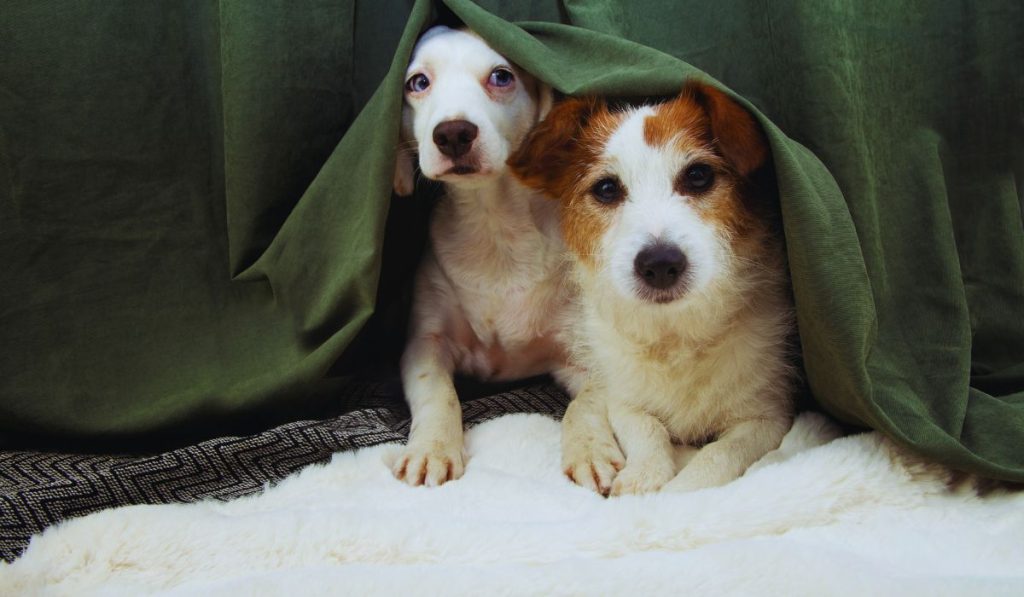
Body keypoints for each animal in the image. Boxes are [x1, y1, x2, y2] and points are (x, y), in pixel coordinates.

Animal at [391, 26, 585, 485]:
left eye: (501, 76)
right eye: (418, 82)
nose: (453, 133)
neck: (495, 227)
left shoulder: (582, 352)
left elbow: (591, 405)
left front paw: (593, 449)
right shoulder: (425, 344)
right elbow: (439, 394)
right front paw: (431, 449)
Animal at [509, 81, 790, 497]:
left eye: (698, 175)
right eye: (606, 188)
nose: (659, 264)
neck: (674, 336)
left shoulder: (767, 417)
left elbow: (719, 453)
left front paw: (677, 493)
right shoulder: (624, 398)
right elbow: (646, 427)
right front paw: (644, 476)